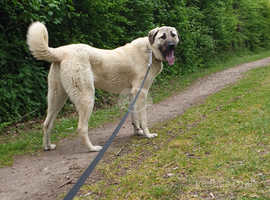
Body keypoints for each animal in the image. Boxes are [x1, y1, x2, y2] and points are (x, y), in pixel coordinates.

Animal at [26, 21, 179, 152]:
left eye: (173, 35)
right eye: (162, 37)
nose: (172, 45)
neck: (150, 50)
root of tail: (61, 51)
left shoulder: (132, 94)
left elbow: (134, 116)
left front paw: (137, 131)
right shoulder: (141, 92)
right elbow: (143, 118)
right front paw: (147, 134)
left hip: (57, 98)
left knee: (47, 124)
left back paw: (47, 146)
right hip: (86, 98)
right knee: (81, 128)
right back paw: (92, 148)